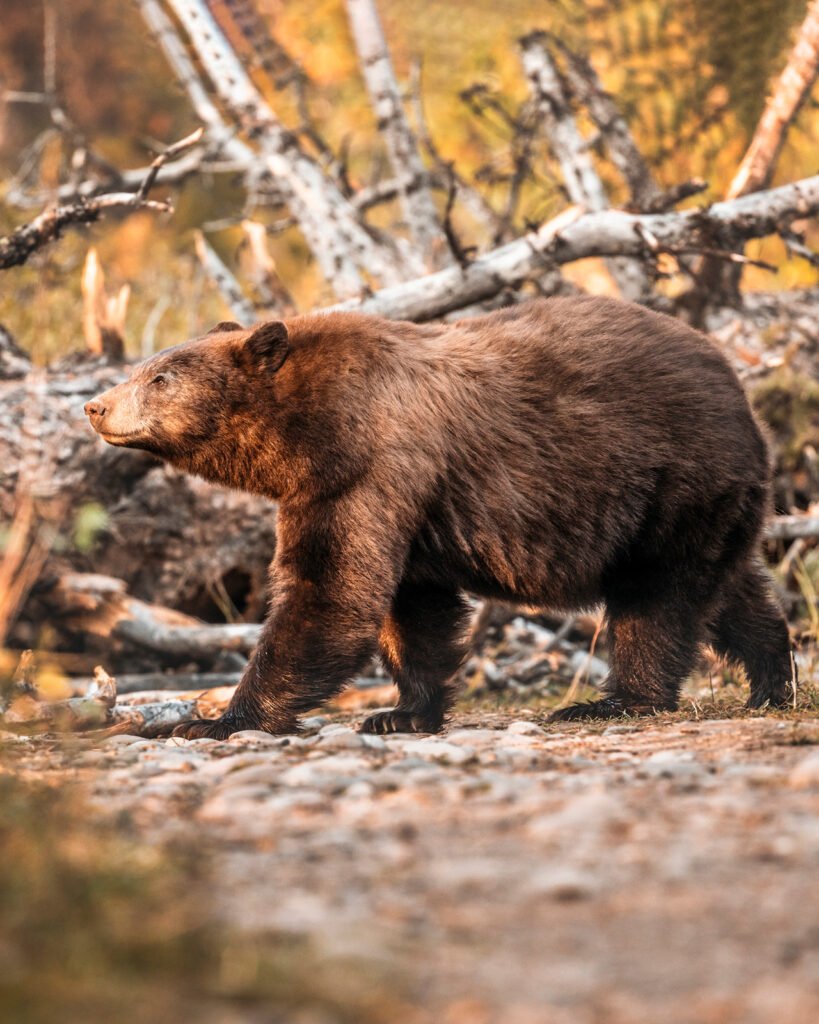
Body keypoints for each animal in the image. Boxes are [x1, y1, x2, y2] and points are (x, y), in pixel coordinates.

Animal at [82, 296, 794, 737]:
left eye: (161, 377)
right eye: (143, 367)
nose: (94, 406)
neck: (304, 434)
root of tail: (740, 386)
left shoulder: (367, 466)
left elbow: (331, 593)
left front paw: (214, 718)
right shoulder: (400, 502)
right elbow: (411, 607)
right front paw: (402, 712)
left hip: (669, 481)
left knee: (654, 599)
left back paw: (613, 702)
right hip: (707, 502)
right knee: (729, 591)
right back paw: (772, 679)